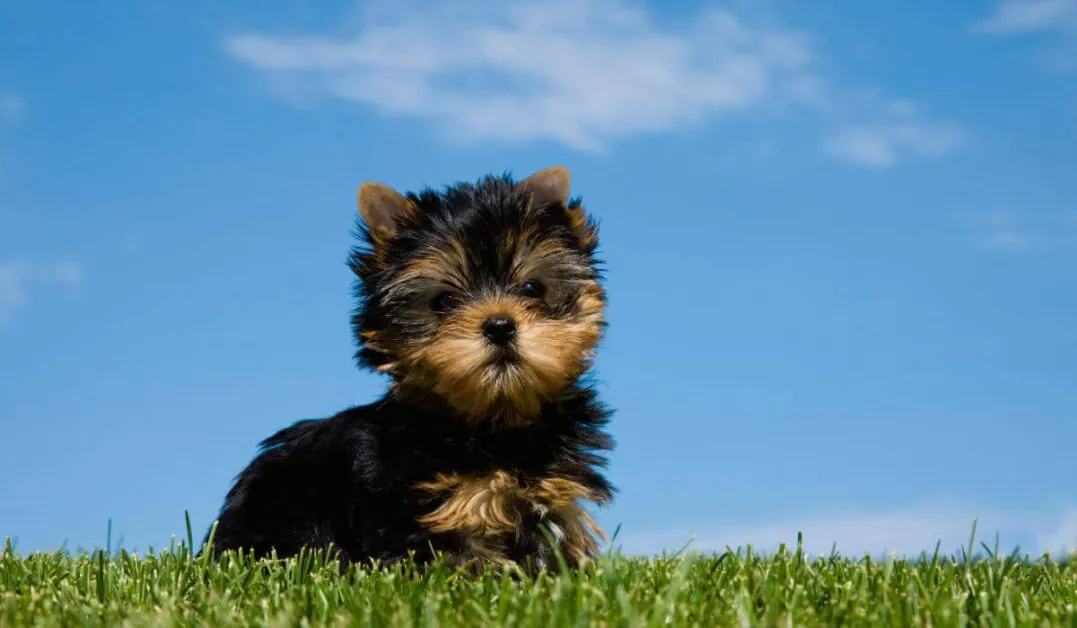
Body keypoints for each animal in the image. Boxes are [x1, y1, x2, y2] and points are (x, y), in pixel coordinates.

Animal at [203, 164, 616, 573]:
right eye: (443, 301)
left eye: (532, 288)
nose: (500, 325)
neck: (494, 425)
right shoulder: (435, 514)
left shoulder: (551, 500)